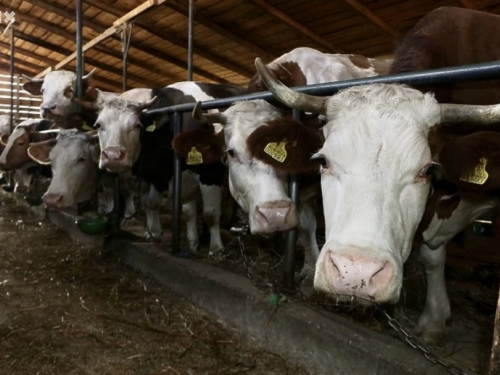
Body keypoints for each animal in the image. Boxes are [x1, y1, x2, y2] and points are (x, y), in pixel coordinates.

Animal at [78, 82, 248, 253]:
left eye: (137, 125)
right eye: (98, 125)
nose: (113, 156)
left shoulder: (211, 172)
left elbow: (211, 213)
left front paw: (216, 248)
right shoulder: (162, 175)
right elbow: (160, 204)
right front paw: (168, 237)